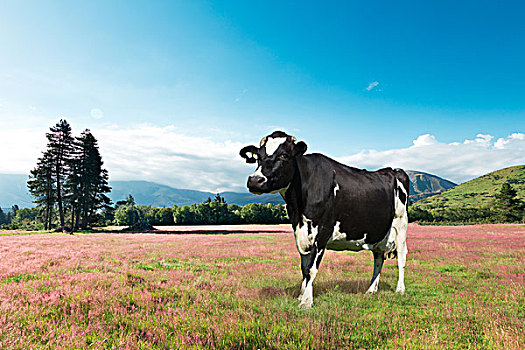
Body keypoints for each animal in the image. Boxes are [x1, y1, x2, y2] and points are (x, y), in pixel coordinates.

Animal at [239, 131, 408, 308]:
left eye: (284, 155)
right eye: (258, 156)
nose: (255, 180)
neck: (299, 205)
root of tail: (392, 170)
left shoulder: (323, 231)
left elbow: (311, 268)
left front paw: (306, 302)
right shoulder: (299, 231)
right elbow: (304, 267)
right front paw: (301, 296)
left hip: (401, 224)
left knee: (401, 256)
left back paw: (400, 290)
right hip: (378, 231)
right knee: (378, 257)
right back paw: (371, 290)